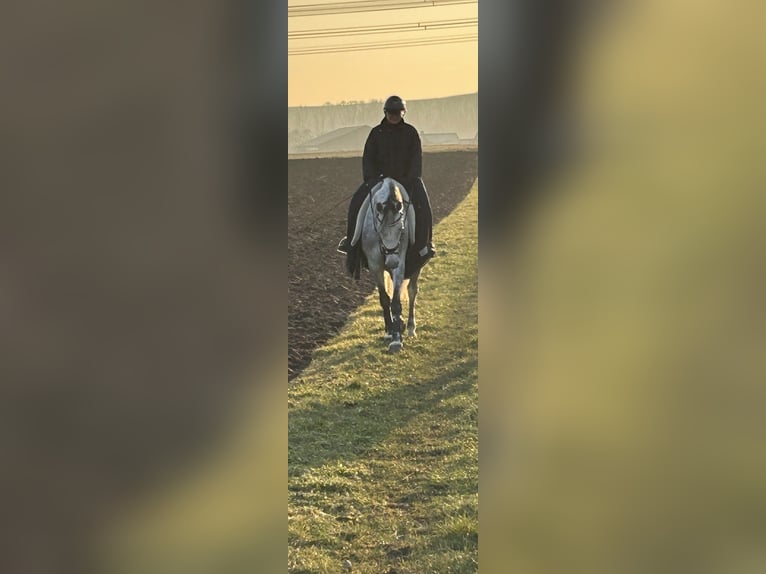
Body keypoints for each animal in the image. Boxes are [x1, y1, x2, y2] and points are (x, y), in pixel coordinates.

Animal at [352, 178, 424, 354]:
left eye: (402, 230)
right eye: (380, 231)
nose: (392, 261)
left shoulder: (400, 265)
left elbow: (396, 302)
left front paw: (397, 339)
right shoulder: (375, 265)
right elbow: (385, 299)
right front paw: (390, 331)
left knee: (412, 290)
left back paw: (410, 327)